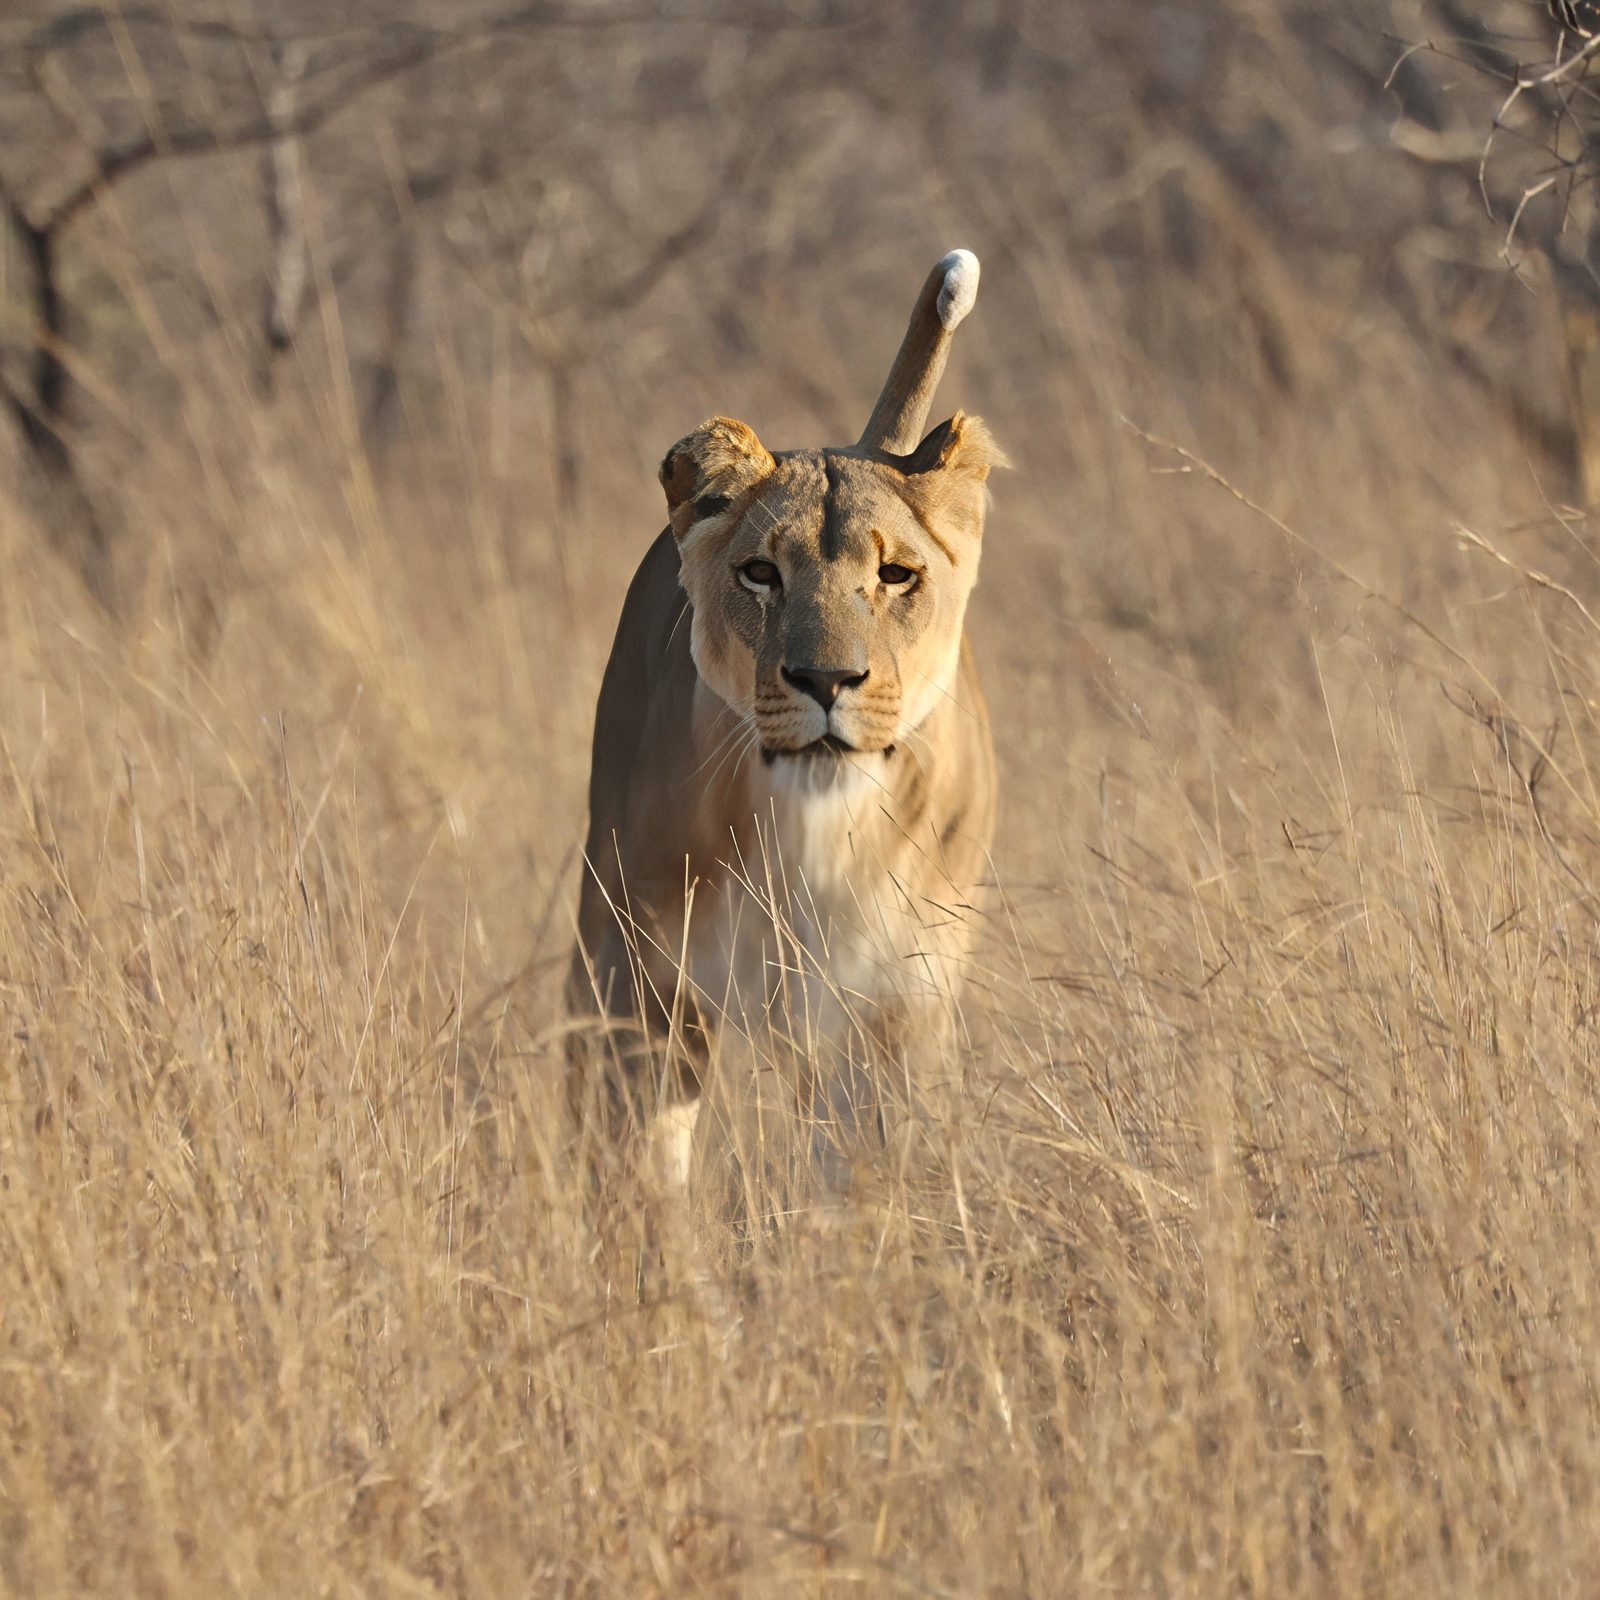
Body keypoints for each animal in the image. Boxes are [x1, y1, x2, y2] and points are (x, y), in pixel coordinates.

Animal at [567, 249, 1002, 1202]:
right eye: (761, 573)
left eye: (897, 575)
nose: (826, 680)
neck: (811, 824)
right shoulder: (643, 988)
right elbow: (642, 1171)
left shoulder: (892, 1012)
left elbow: (862, 1180)